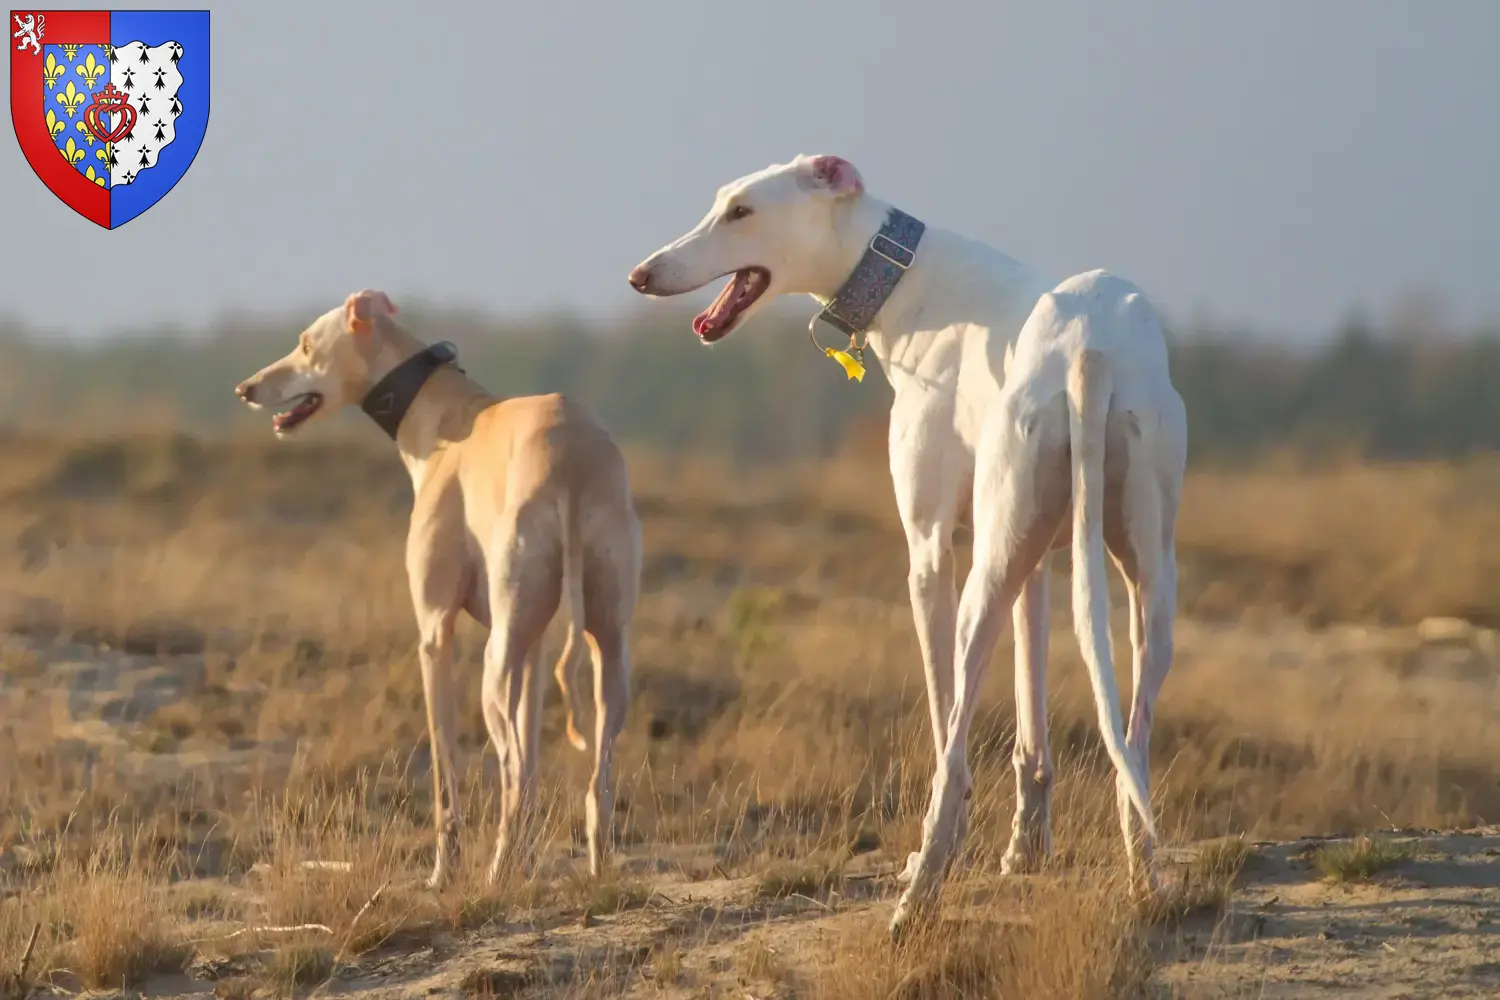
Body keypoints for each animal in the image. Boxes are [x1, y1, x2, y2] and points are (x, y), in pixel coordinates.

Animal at [234, 287, 645, 881]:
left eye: (306, 344)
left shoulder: (435, 632)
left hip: (494, 667)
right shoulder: (535, 647)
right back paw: (596, 870)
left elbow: (446, 770)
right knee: (591, 776)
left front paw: (443, 872)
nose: (245, 389)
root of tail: (569, 459)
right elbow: (534, 762)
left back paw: (495, 873)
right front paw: (523, 863)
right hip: (605, 649)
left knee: (510, 766)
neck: (445, 417)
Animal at [627, 152, 1188, 935]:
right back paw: (1145, 877)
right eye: (722, 203)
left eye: (741, 211)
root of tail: (1091, 349)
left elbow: (946, 712)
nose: (641, 275)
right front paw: (1026, 849)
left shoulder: (929, 549)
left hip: (983, 581)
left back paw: (919, 888)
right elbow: (1033, 722)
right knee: (1132, 738)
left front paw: (961, 847)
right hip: (1141, 571)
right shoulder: (1039, 556)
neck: (910, 278)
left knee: (952, 746)